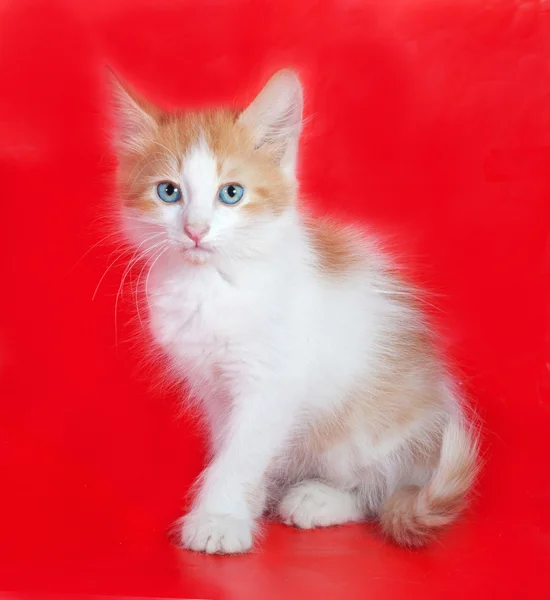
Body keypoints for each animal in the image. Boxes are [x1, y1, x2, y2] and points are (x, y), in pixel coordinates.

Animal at [108, 69, 478, 552]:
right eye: (168, 192)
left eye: (231, 193)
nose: (195, 230)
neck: (213, 284)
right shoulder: (214, 388)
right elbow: (234, 448)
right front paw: (245, 504)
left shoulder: (272, 382)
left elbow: (241, 453)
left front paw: (219, 519)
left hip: (368, 433)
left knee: (379, 491)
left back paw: (320, 500)